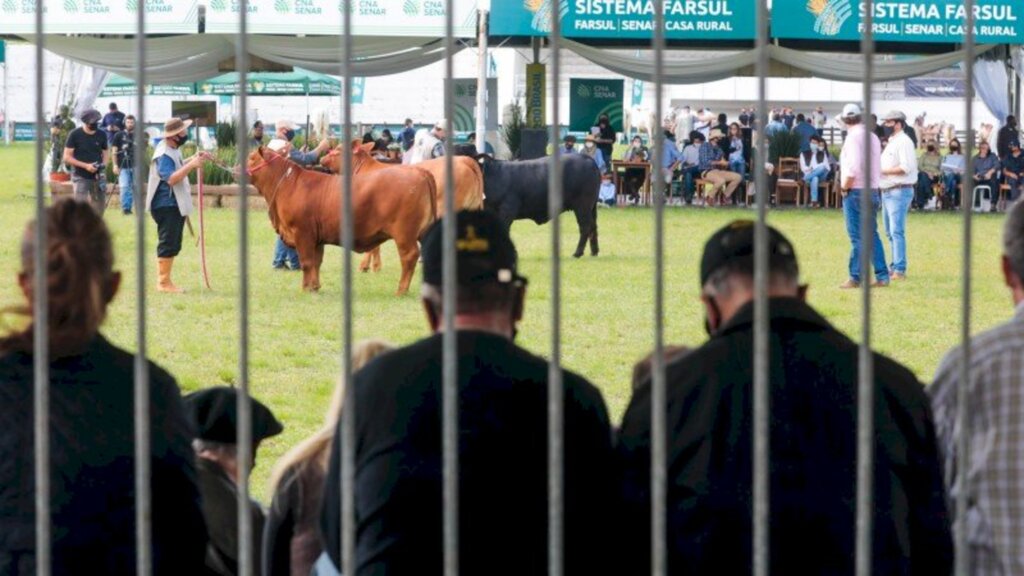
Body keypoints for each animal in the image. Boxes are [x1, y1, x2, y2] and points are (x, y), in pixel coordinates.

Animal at [251, 145, 440, 293]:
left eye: (251, 158)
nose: (239, 167)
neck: (289, 184)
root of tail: (418, 170)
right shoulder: (317, 238)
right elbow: (316, 262)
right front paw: (315, 287)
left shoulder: (302, 233)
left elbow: (306, 262)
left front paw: (305, 288)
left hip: (404, 234)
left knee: (409, 256)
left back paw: (401, 290)